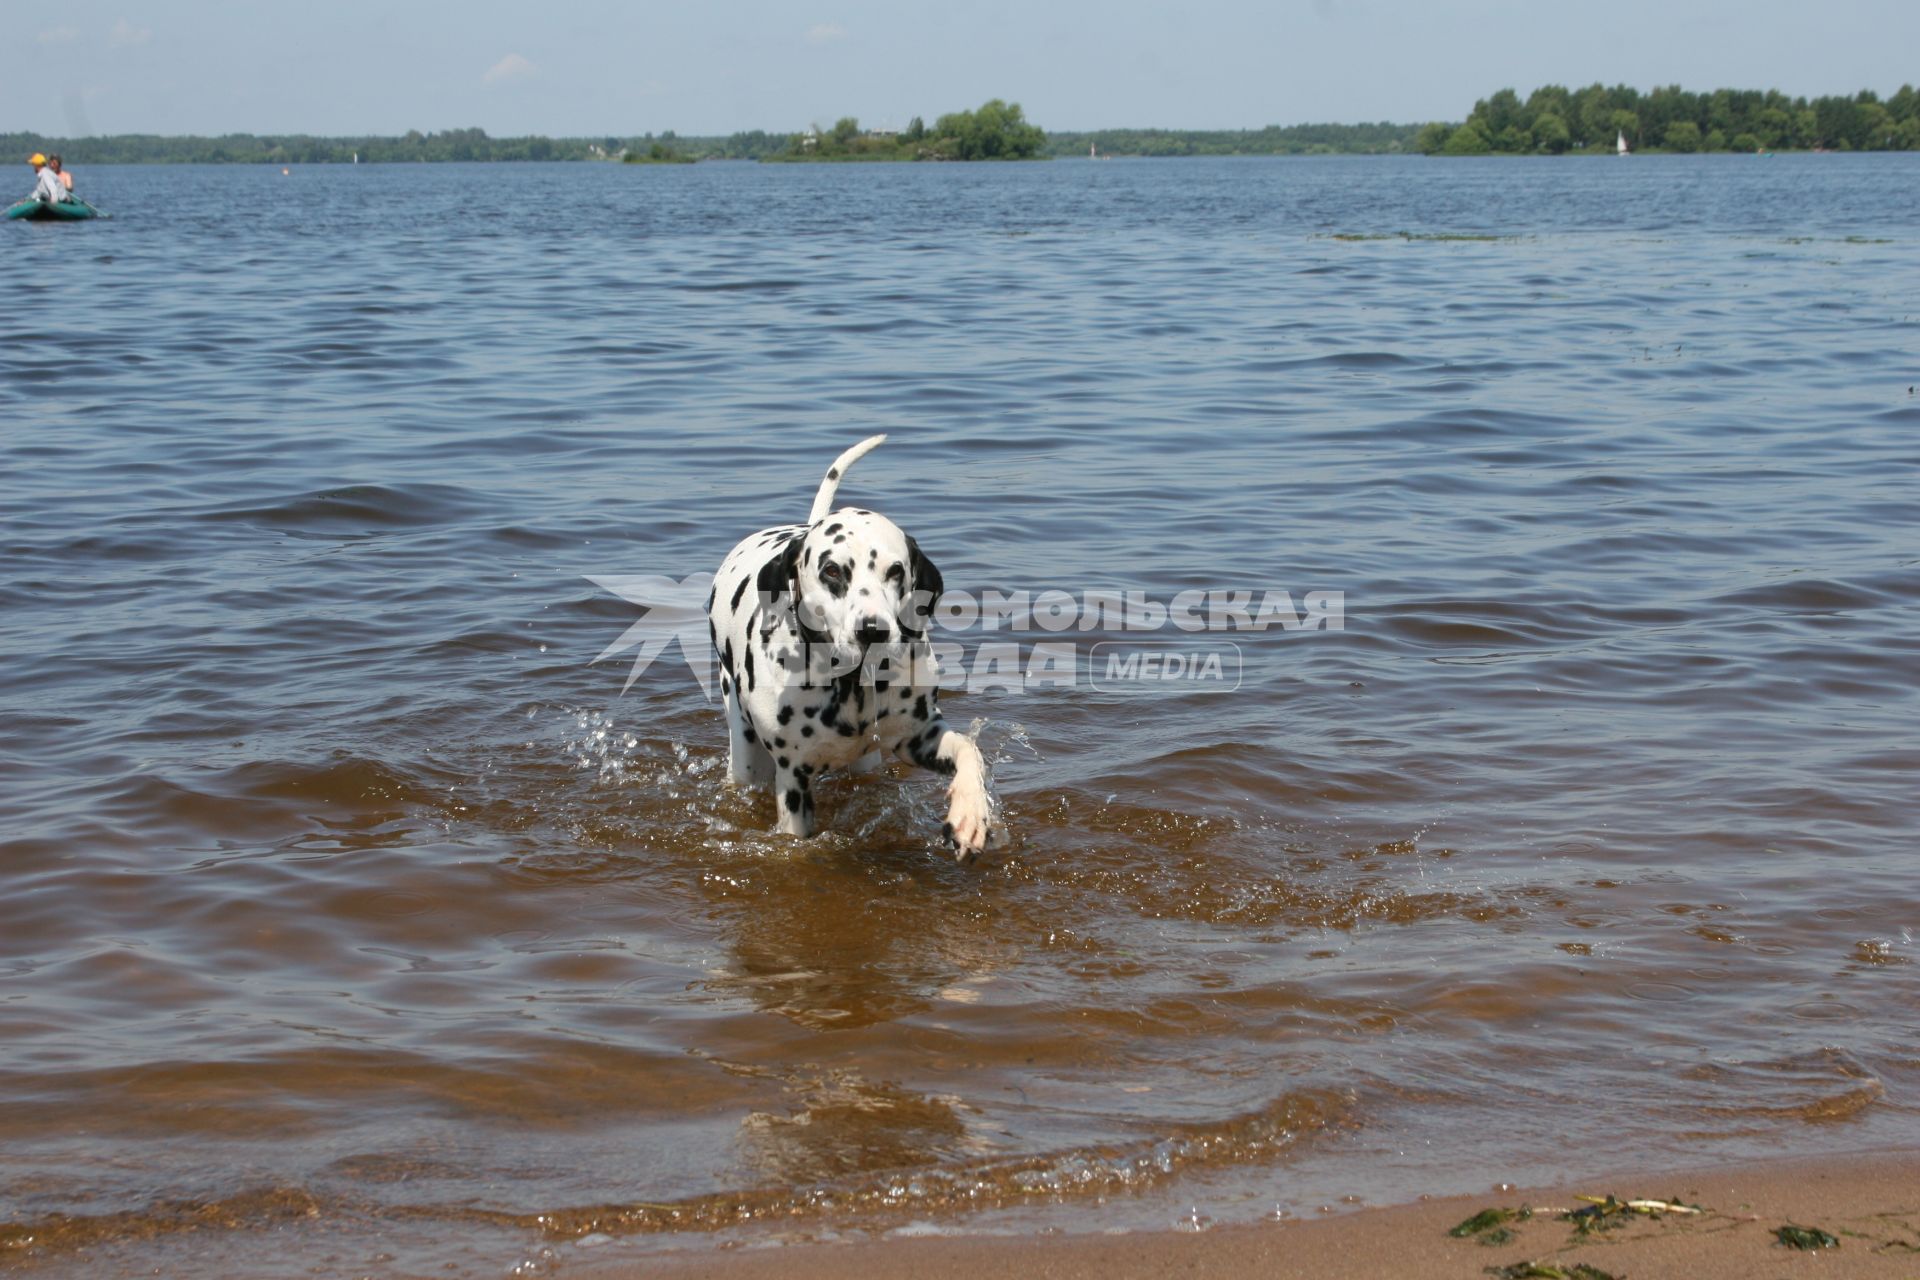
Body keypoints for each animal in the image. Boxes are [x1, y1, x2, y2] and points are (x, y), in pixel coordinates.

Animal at [710, 433, 1006, 859]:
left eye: (896, 571)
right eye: (832, 570)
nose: (872, 630)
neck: (851, 686)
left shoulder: (919, 736)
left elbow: (969, 749)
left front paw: (970, 813)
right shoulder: (793, 780)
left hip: (869, 761)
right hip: (745, 752)